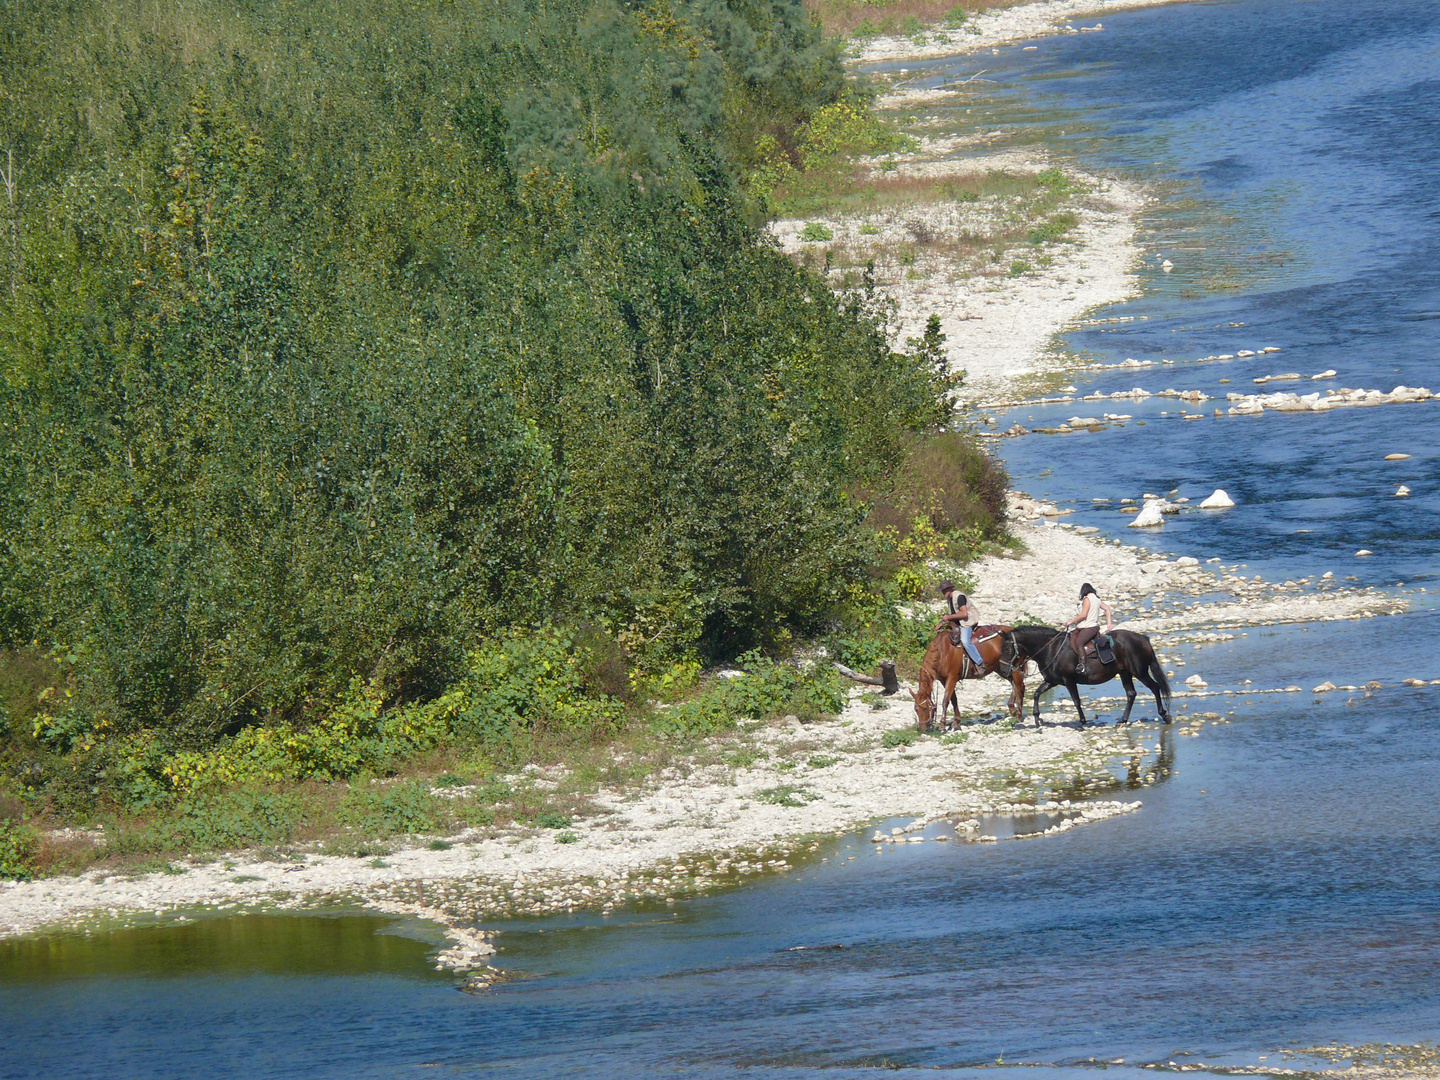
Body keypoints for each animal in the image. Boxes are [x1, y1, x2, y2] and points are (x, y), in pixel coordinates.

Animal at [1013, 624, 1169, 728]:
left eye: (1009, 647)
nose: (1010, 668)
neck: (1052, 649)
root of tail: (1143, 638)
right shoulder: (1051, 681)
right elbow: (1036, 694)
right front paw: (1037, 719)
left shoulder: (1069, 680)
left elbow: (1076, 701)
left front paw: (1082, 722)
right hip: (1125, 673)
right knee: (1131, 693)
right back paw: (1123, 720)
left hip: (1140, 672)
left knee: (1155, 687)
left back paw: (1164, 715)